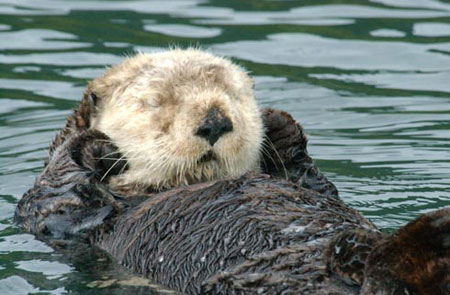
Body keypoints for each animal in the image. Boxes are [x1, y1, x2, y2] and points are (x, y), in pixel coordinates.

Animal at [14, 50, 450, 295]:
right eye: (155, 101)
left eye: (235, 96)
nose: (214, 120)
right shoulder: (51, 215)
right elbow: (58, 196)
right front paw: (96, 146)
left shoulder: (313, 183)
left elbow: (317, 184)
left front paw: (279, 125)